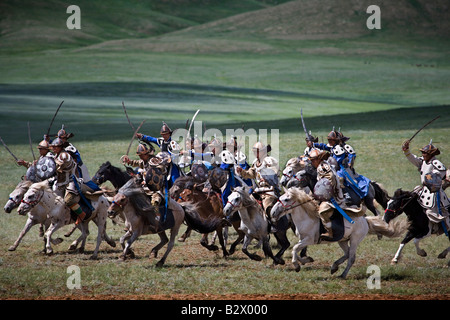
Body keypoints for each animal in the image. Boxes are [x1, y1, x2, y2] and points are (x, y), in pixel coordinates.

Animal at [270, 186, 408, 278]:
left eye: (286, 199)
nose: (272, 212)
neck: (307, 218)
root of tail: (365, 220)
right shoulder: (303, 240)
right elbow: (296, 251)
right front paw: (306, 260)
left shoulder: (309, 240)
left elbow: (294, 249)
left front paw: (297, 266)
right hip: (342, 240)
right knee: (346, 254)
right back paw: (334, 267)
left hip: (354, 240)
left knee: (351, 258)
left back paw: (342, 274)